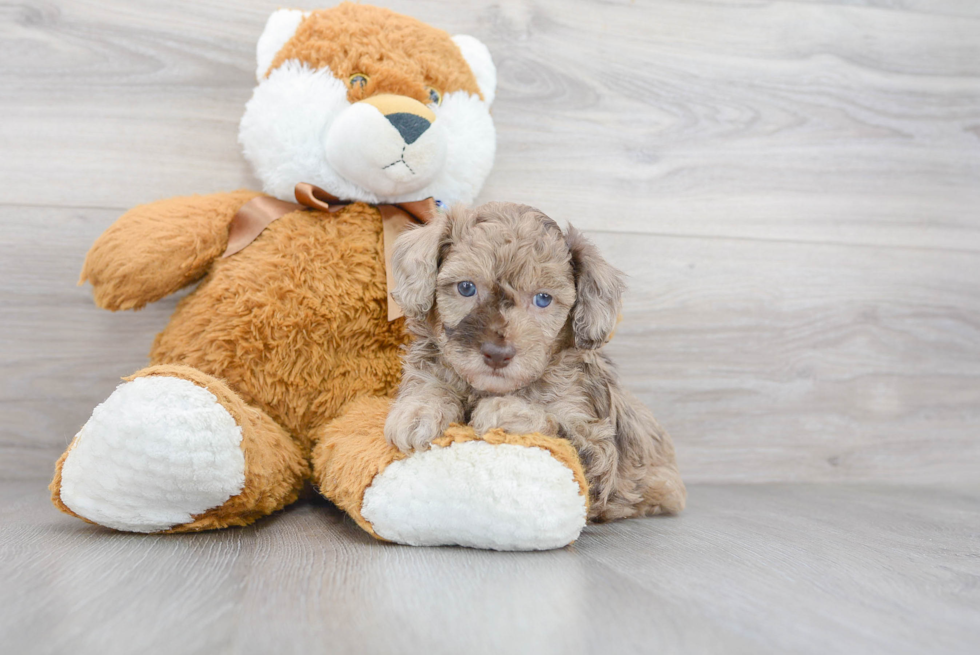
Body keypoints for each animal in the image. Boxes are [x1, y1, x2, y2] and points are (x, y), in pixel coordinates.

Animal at [384, 202, 688, 520]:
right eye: (466, 288)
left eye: (543, 299)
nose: (497, 353)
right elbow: (430, 386)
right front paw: (417, 412)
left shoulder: (598, 450)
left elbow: (555, 423)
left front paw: (506, 410)